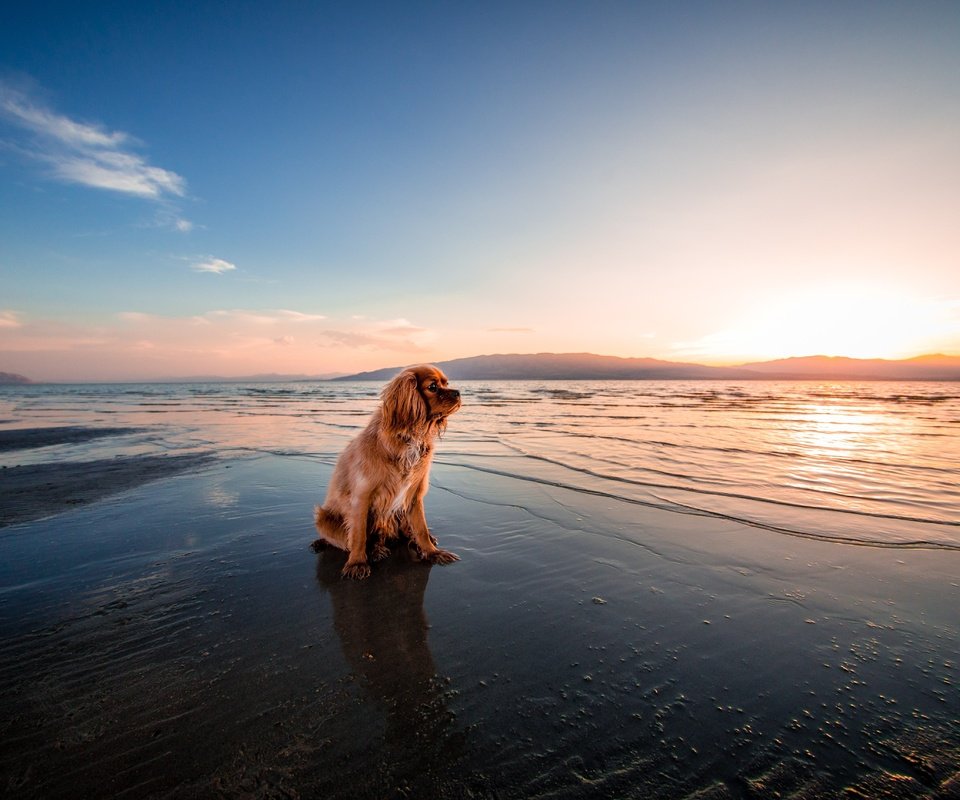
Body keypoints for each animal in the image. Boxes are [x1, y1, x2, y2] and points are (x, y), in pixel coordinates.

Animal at [314, 366, 464, 580]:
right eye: (433, 387)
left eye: (447, 384)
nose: (458, 393)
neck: (409, 437)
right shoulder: (362, 497)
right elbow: (358, 535)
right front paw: (357, 563)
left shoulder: (414, 496)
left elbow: (421, 528)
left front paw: (432, 552)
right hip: (323, 518)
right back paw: (375, 550)